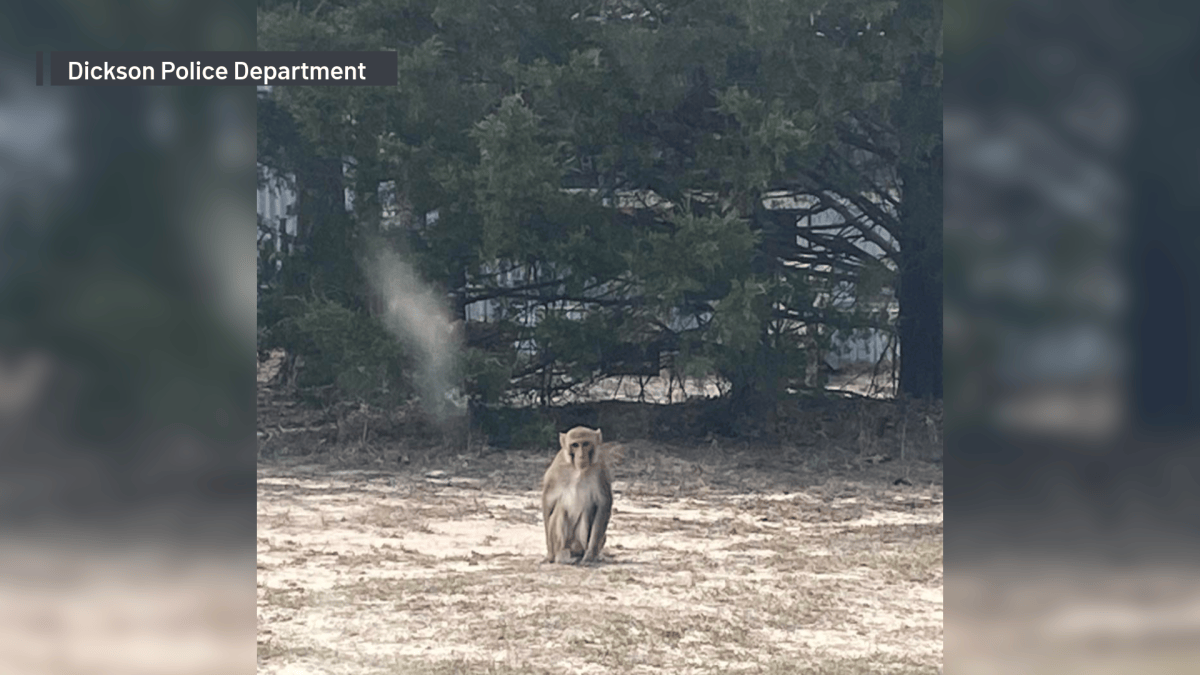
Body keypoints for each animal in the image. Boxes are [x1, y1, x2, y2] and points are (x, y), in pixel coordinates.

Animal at [541, 426, 616, 564]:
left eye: (585, 444)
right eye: (575, 445)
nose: (581, 456)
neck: (577, 469)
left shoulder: (600, 468)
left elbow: (603, 504)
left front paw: (590, 554)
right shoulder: (556, 469)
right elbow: (548, 503)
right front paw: (549, 555)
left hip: (578, 543)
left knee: (586, 512)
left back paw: (582, 554)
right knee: (560, 509)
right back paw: (562, 555)